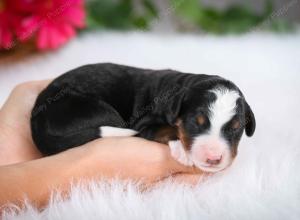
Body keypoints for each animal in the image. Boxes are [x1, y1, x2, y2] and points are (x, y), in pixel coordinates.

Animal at [31, 62, 255, 173]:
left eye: (236, 128)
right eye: (195, 123)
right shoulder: (144, 123)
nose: (214, 159)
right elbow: (167, 129)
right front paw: (182, 151)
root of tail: (36, 119)